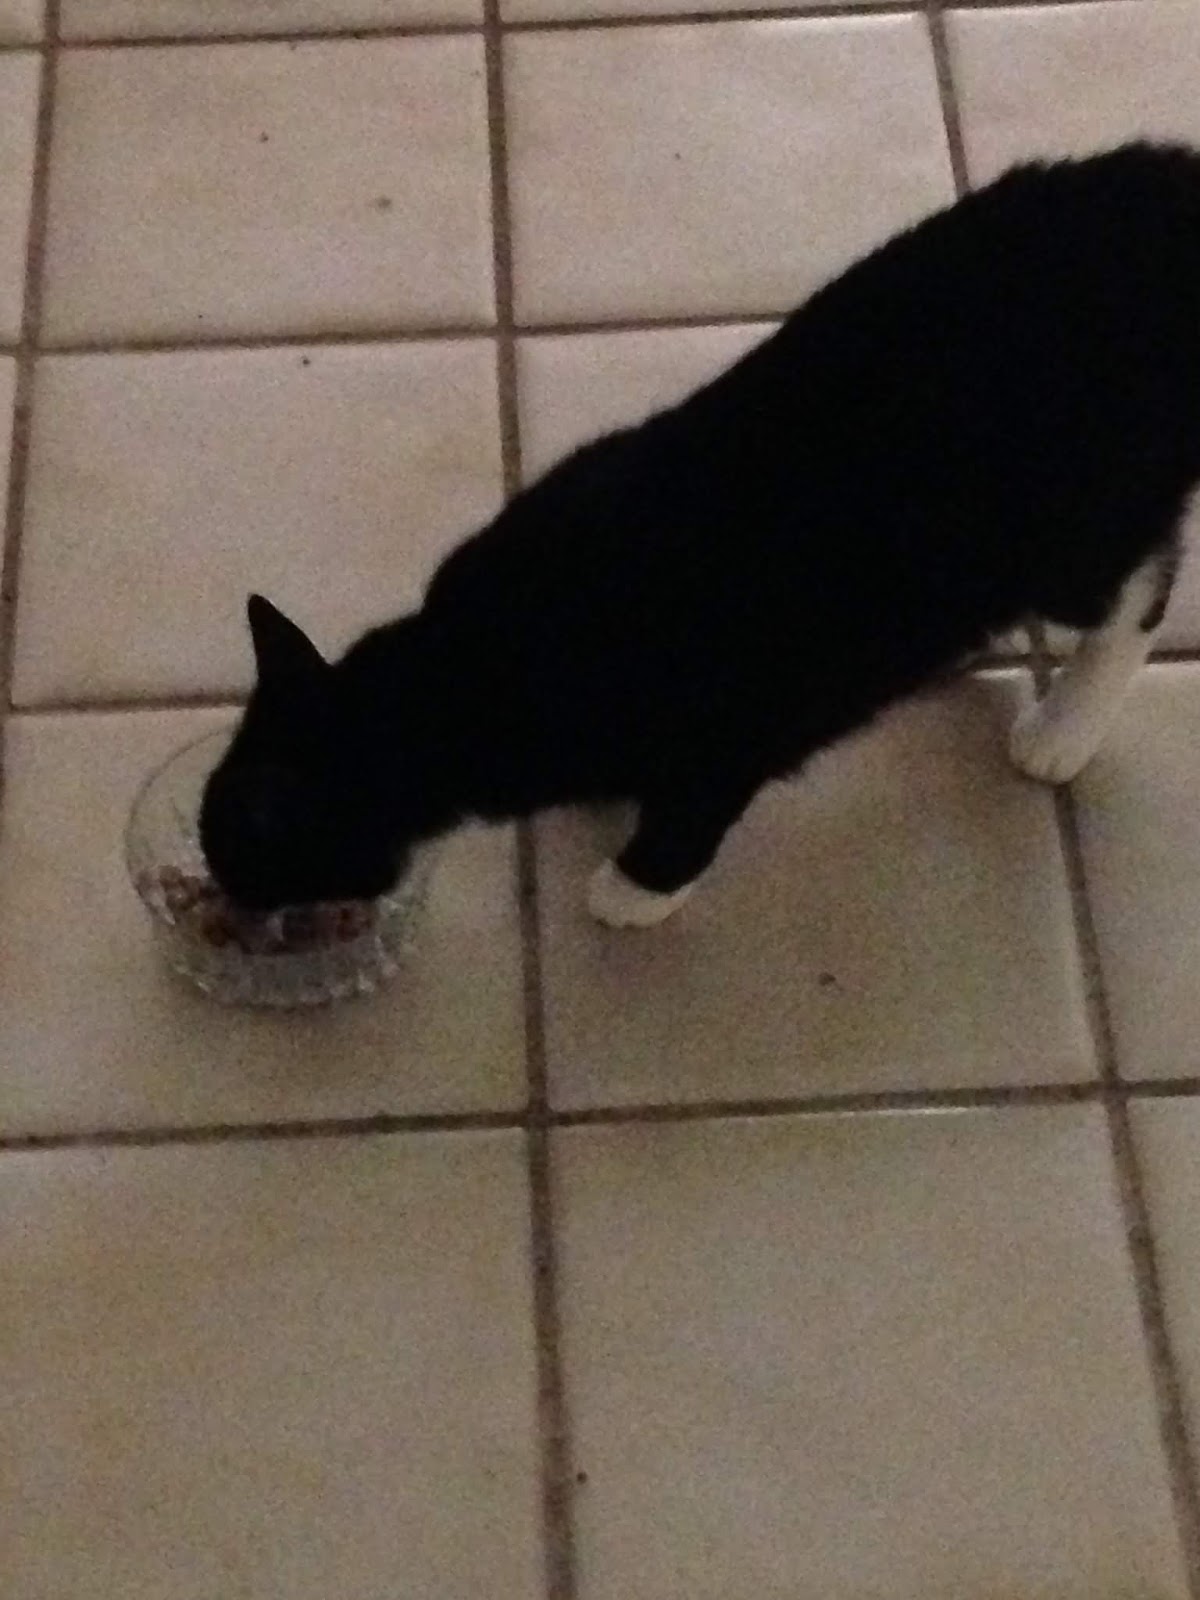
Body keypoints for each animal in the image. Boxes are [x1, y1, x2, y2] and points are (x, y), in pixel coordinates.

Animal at [201, 141, 1200, 928]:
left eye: (234, 848)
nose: (217, 892)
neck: (469, 662)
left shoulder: (725, 728)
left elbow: (689, 818)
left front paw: (631, 890)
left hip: (1072, 532)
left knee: (1139, 588)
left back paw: (1064, 726)